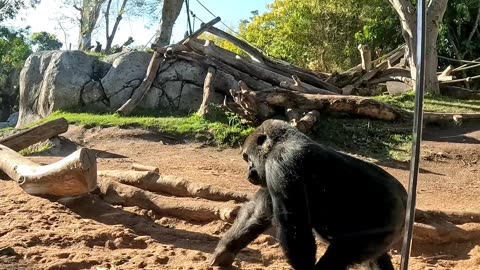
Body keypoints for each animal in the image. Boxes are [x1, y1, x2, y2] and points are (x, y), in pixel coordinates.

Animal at [208, 119, 406, 270]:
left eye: (247, 158)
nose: (249, 172)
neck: (281, 142)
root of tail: (405, 200)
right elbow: (259, 210)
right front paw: (225, 251)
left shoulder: (282, 162)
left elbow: (295, 227)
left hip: (383, 226)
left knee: (339, 256)